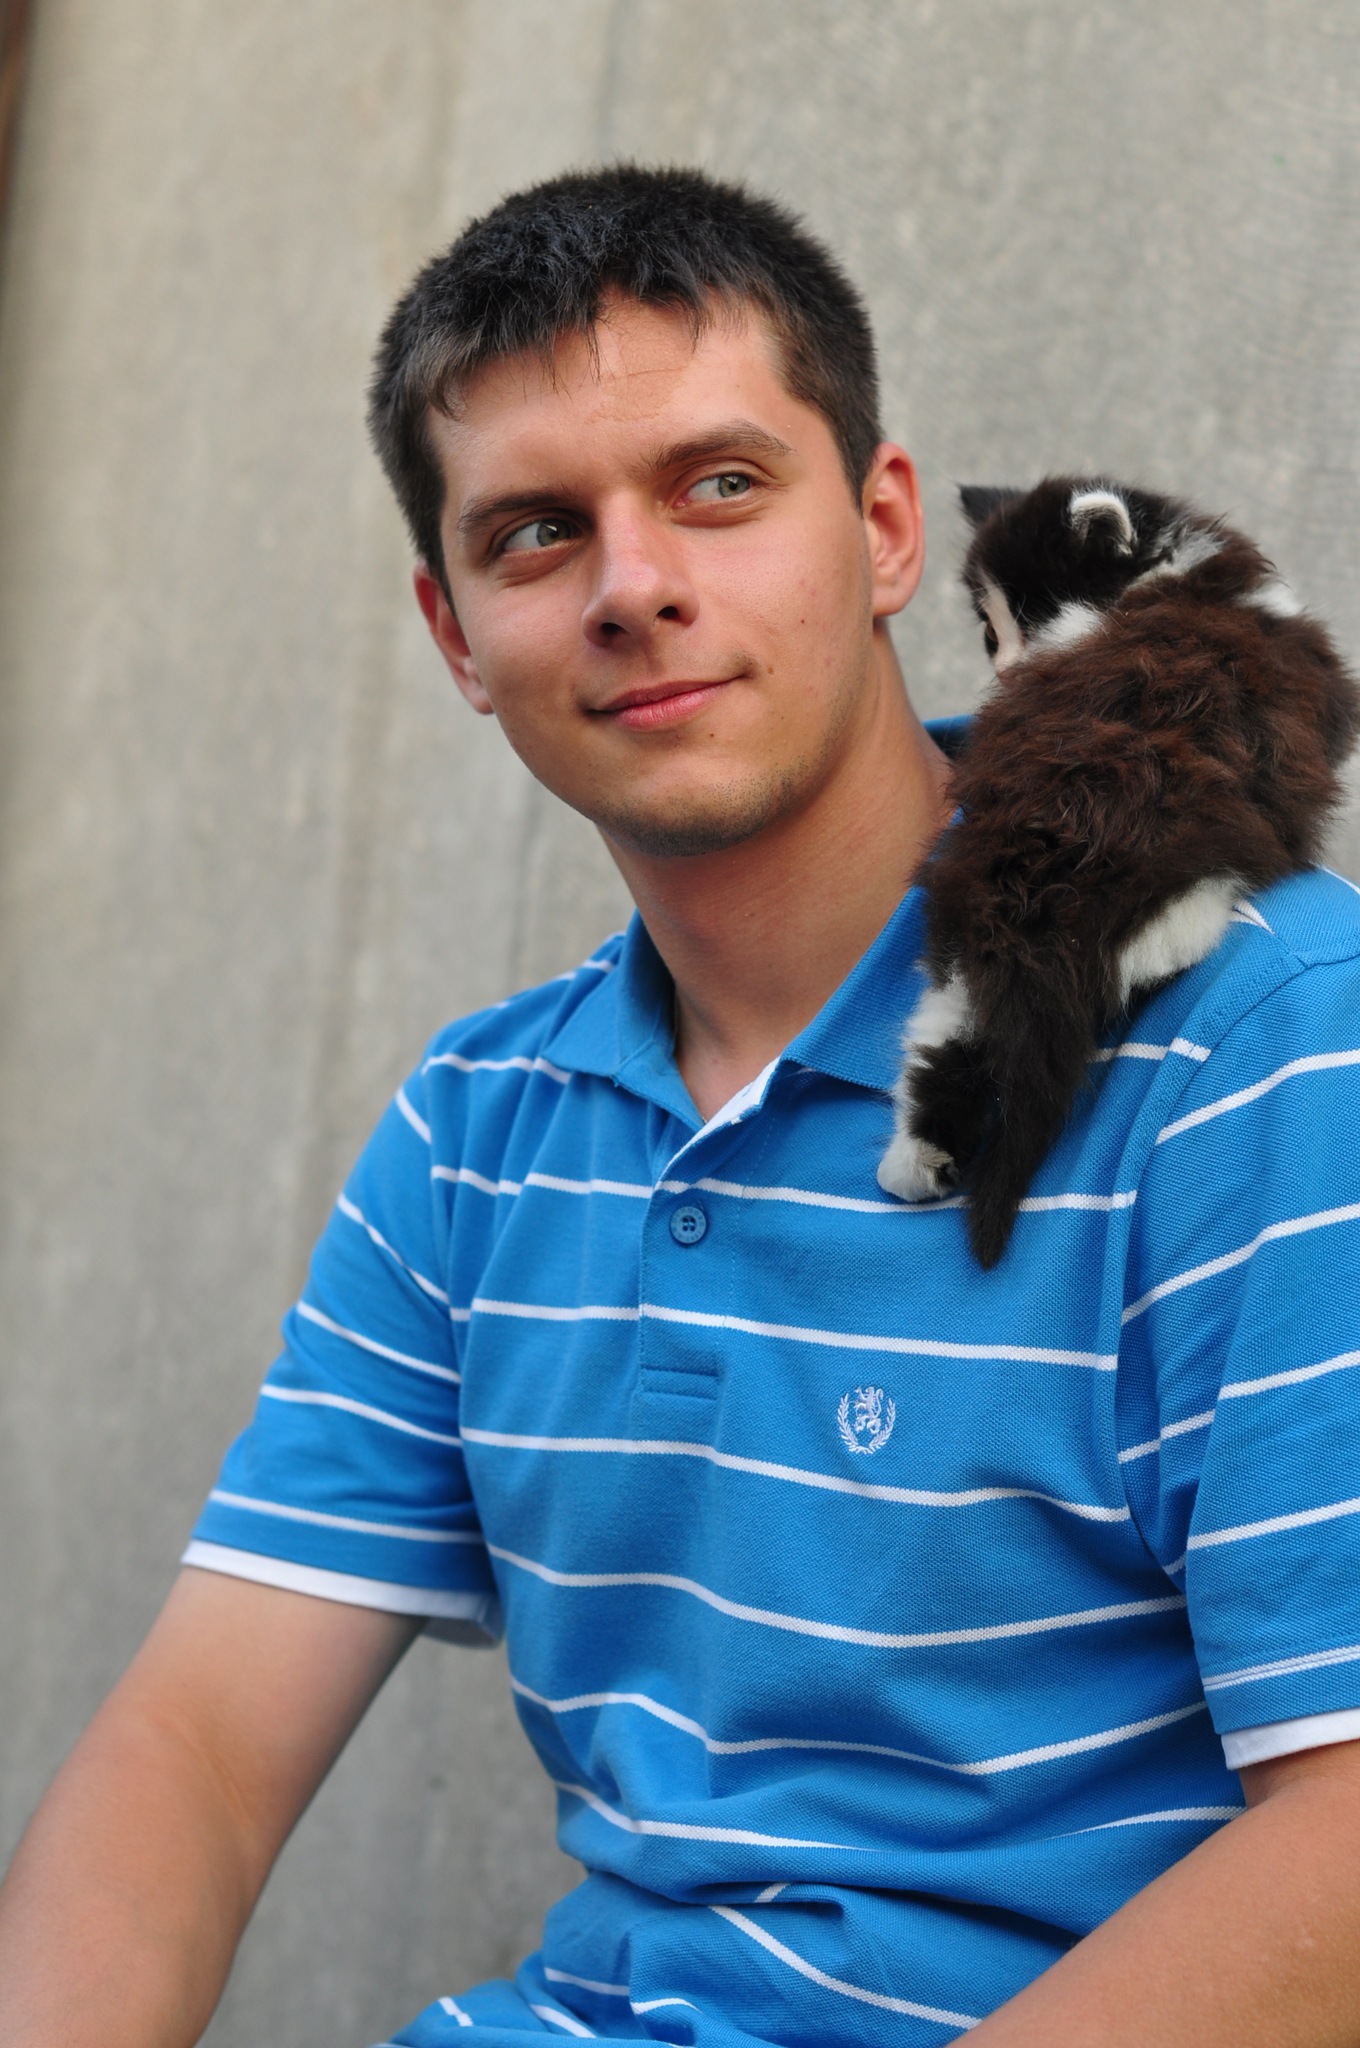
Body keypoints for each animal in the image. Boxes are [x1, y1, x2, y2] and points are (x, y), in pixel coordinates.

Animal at [877, 475, 1360, 1269]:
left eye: (1029, 624)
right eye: (991, 635)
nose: (1007, 678)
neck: (1176, 581)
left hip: (961, 907)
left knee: (949, 1025)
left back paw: (916, 1161)